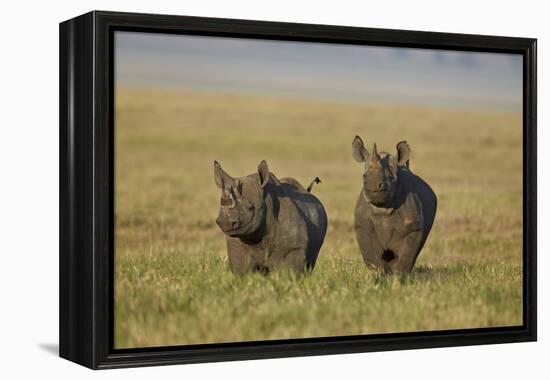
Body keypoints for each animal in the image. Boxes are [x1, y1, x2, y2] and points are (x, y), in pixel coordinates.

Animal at [354, 137, 440, 274]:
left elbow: (407, 253)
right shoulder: (362, 226)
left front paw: (399, 274)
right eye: (364, 176)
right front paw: (378, 273)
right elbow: (370, 255)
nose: (373, 185)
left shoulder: (413, 227)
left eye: (390, 178)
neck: (383, 207)